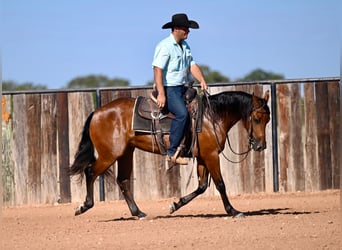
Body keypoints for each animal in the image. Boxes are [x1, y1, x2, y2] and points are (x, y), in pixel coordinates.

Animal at [69, 90, 272, 219]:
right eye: (256, 118)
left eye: (268, 120)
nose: (261, 146)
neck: (211, 117)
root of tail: (96, 112)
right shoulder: (211, 155)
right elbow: (220, 184)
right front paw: (233, 211)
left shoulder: (202, 157)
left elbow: (202, 186)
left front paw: (175, 205)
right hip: (109, 155)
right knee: (90, 172)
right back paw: (84, 206)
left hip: (126, 153)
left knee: (123, 180)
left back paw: (138, 213)